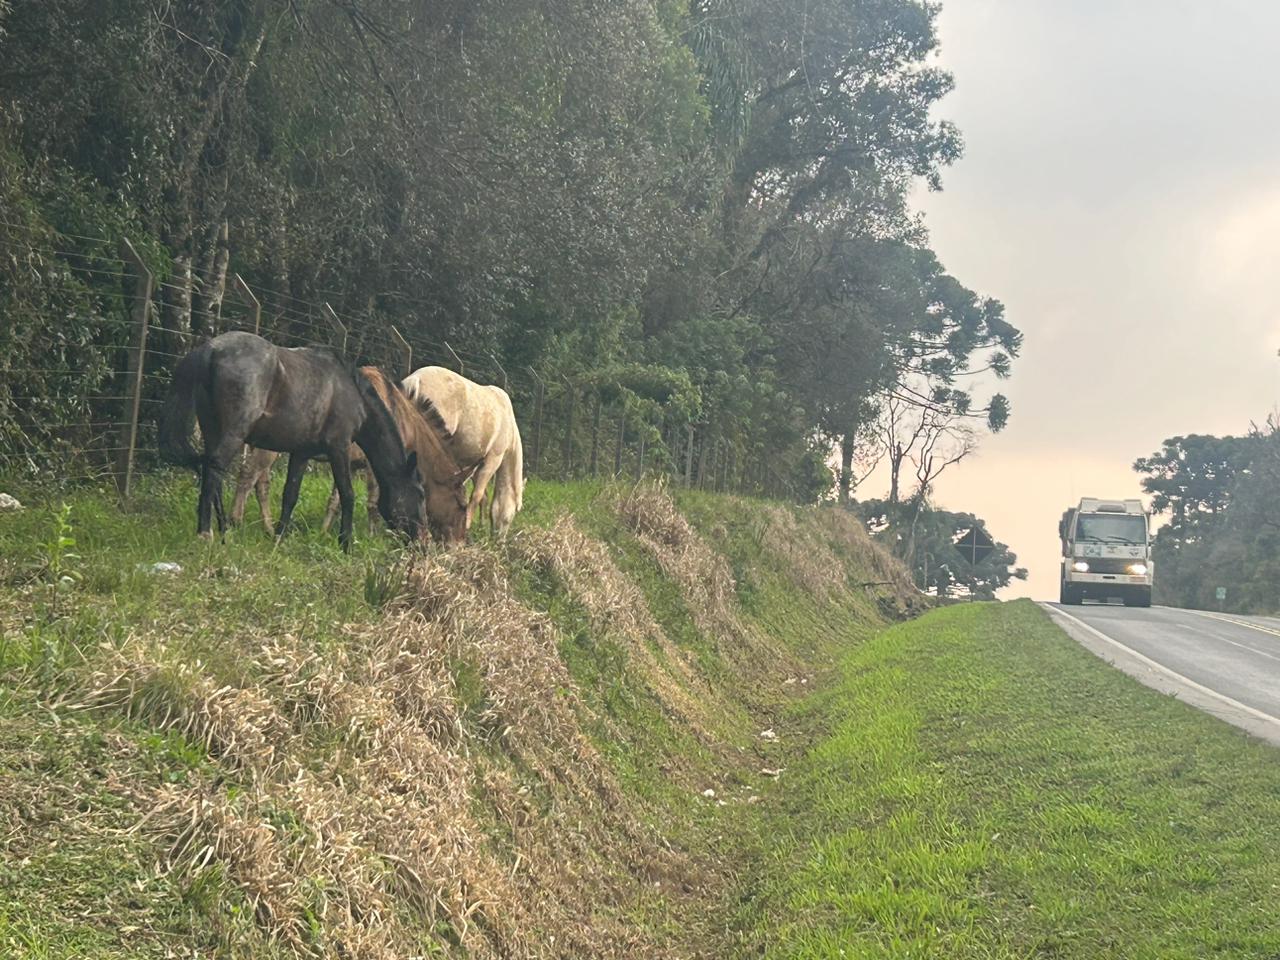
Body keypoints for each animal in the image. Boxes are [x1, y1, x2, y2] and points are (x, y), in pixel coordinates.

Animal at [399, 366, 519, 537]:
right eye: (510, 518)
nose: (500, 540)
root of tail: (415, 379)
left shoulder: (469, 464)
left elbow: (478, 495)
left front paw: (479, 525)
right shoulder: (493, 459)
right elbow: (477, 495)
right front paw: (467, 525)